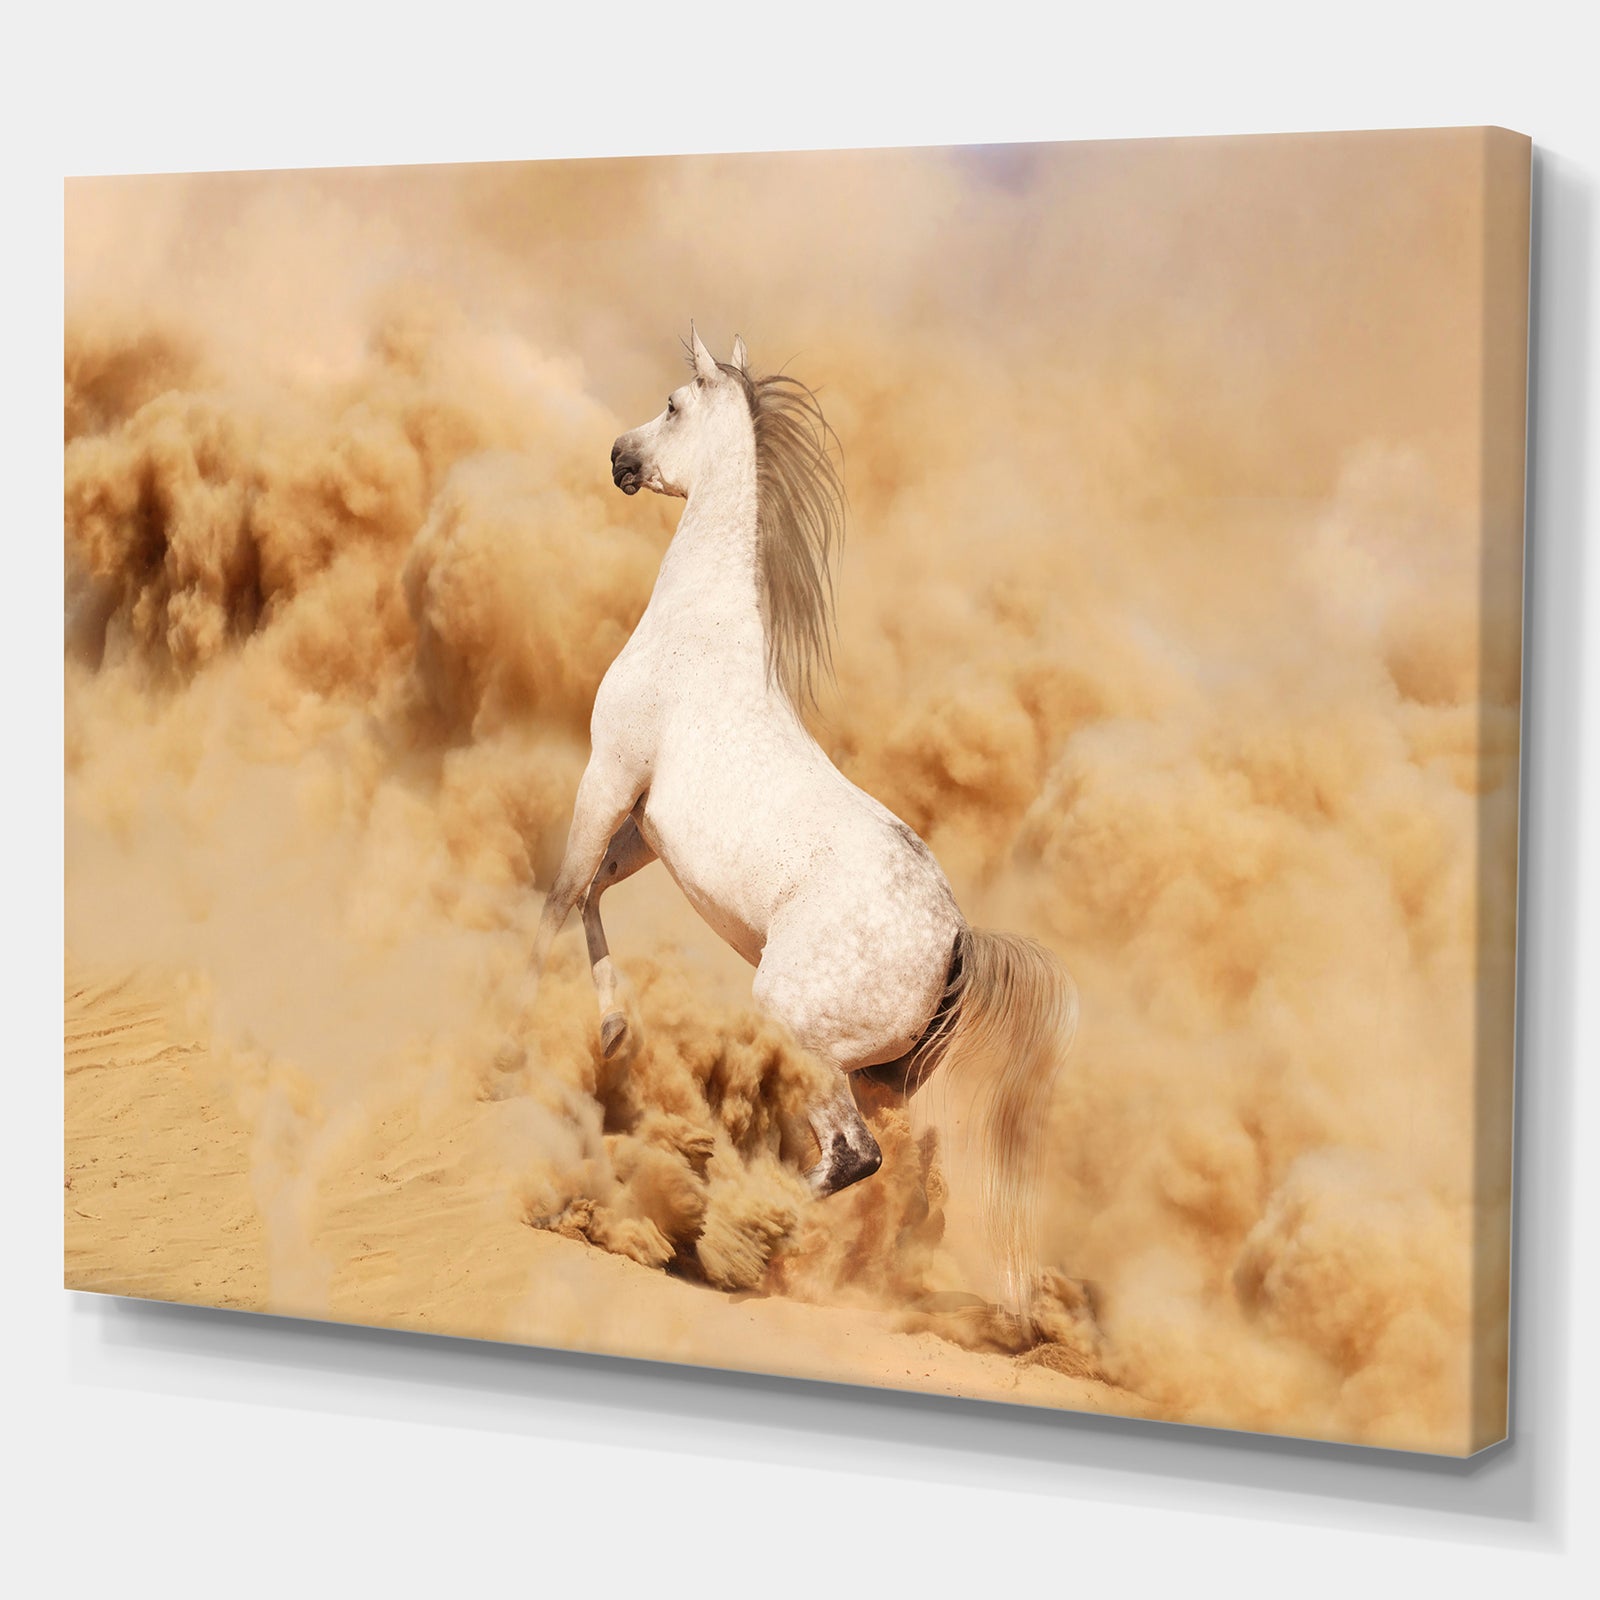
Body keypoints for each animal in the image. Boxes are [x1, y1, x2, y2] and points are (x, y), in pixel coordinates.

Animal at [519, 327, 1078, 1315]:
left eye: (673, 405)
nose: (619, 457)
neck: (700, 631)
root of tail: (958, 944)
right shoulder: (646, 829)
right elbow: (587, 893)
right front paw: (612, 1031)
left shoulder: (609, 772)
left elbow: (559, 894)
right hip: (874, 1073)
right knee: (878, 1166)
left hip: (798, 1024)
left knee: (853, 1156)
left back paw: (724, 1227)